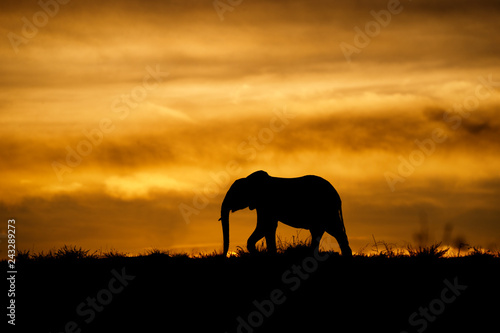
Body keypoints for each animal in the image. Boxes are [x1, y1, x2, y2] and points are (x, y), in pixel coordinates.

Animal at [219, 170, 352, 255]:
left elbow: (265, 226)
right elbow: (269, 227)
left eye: (234, 194)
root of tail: (338, 196)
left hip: (326, 210)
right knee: (323, 231)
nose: (224, 255)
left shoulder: (265, 203)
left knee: (332, 230)